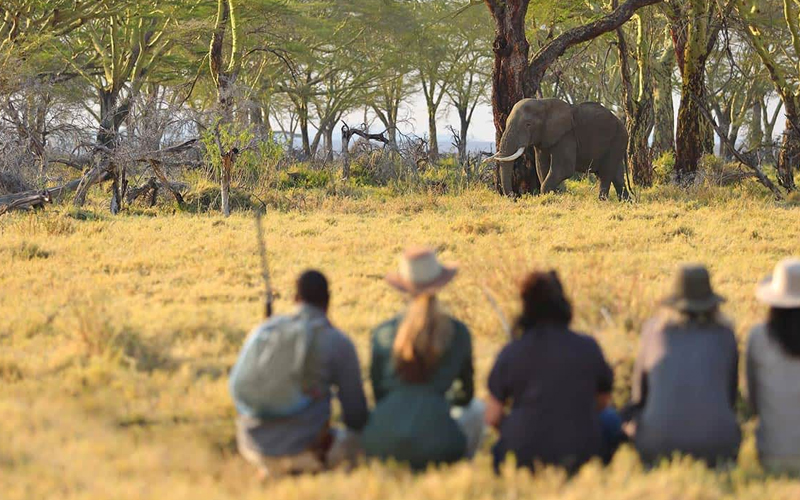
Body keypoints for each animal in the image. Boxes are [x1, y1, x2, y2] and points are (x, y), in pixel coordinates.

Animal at [488, 97, 632, 199]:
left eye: (528, 124)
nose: (514, 196)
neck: (543, 103)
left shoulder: (567, 135)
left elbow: (564, 168)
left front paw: (549, 196)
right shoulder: (543, 138)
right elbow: (541, 167)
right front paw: (552, 197)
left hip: (617, 140)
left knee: (605, 174)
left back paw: (602, 201)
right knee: (617, 176)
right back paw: (626, 202)